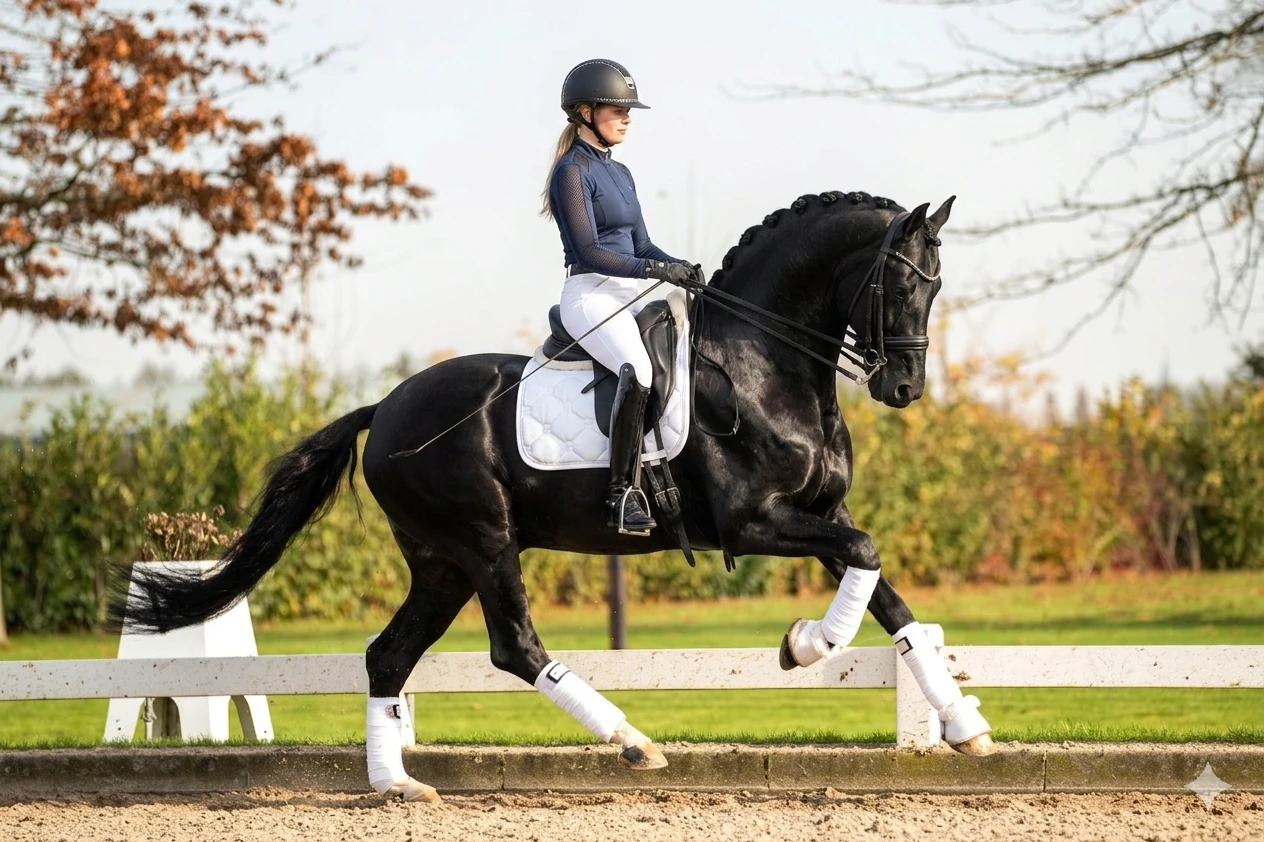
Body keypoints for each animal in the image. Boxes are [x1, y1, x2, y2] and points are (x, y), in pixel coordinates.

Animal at [109, 189, 995, 804]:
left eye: (935, 286)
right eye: (897, 283)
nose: (904, 388)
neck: (762, 361)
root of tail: (385, 407)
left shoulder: (822, 515)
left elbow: (890, 598)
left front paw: (963, 726)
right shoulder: (756, 523)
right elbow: (867, 563)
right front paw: (805, 646)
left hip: (442, 562)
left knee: (389, 654)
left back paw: (396, 784)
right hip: (484, 542)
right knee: (515, 647)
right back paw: (633, 741)